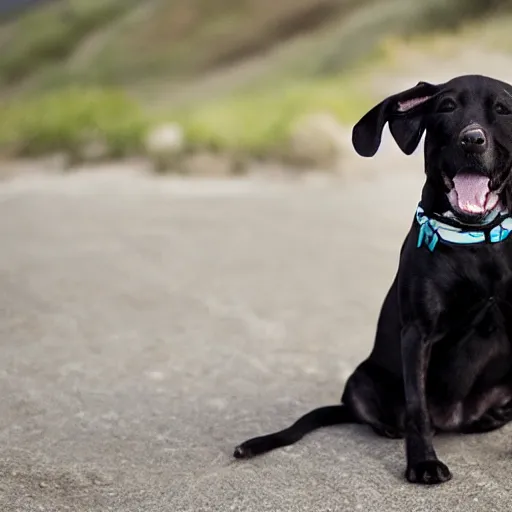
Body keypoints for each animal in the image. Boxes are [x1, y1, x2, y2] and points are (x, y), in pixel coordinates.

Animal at [233, 75, 512, 484]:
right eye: (446, 106)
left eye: (503, 109)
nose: (472, 140)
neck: (478, 241)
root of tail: (454, 418)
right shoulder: (417, 332)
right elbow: (417, 409)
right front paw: (422, 463)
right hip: (360, 379)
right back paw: (392, 427)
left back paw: (490, 416)